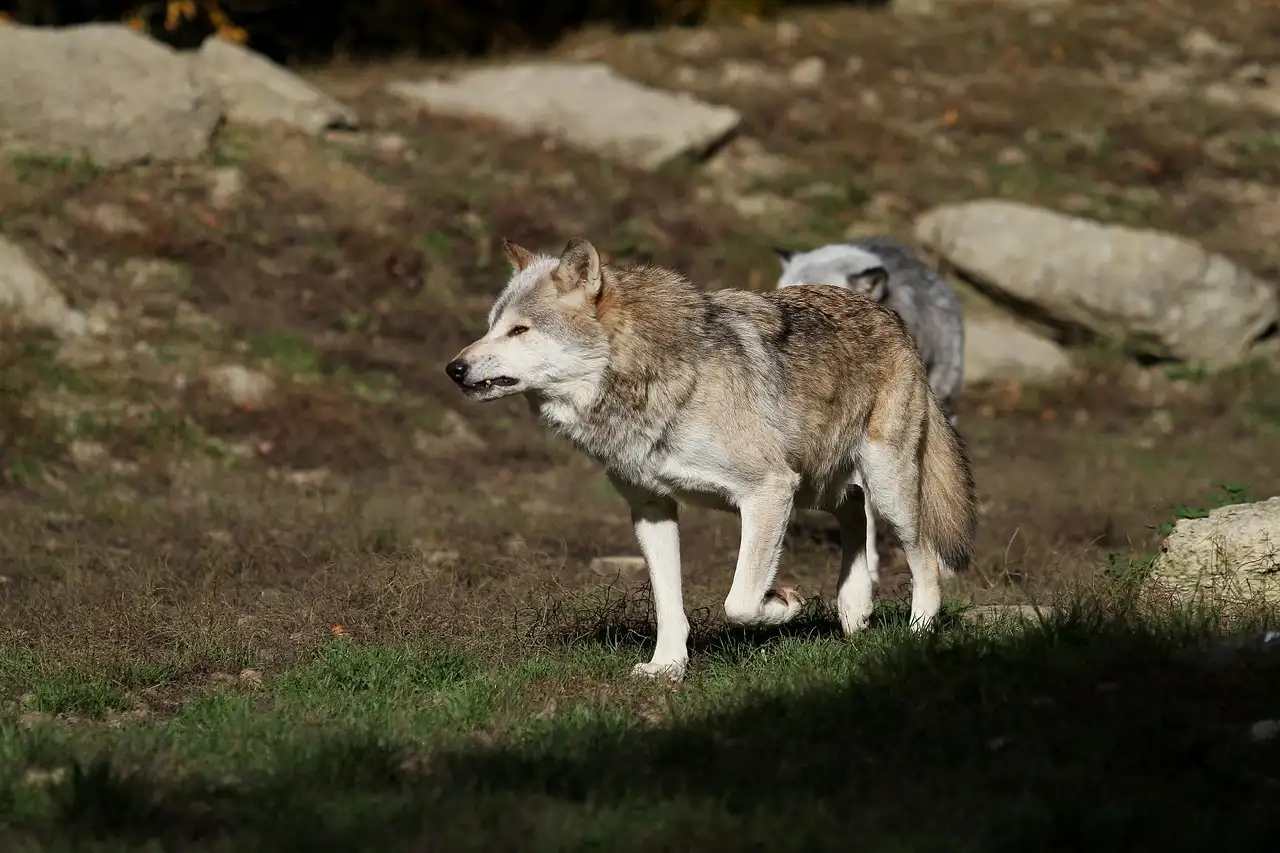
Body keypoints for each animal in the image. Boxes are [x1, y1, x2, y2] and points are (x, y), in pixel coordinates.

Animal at [445, 236, 977, 681]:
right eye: (491, 327)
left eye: (519, 330)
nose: (454, 368)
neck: (652, 379)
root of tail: (888, 315)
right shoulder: (652, 510)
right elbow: (669, 606)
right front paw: (667, 668)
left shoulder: (767, 491)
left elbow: (739, 602)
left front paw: (784, 604)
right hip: (814, 486)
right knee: (852, 508)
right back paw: (854, 607)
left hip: (882, 487)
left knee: (922, 554)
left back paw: (917, 631)